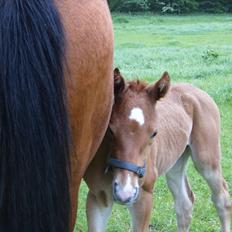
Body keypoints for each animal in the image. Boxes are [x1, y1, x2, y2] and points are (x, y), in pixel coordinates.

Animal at [84, 69, 231, 232]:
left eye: (154, 133)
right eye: (110, 130)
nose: (125, 191)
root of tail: (196, 90)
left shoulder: (144, 197)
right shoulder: (97, 197)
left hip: (207, 160)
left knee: (222, 198)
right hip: (176, 162)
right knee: (184, 203)